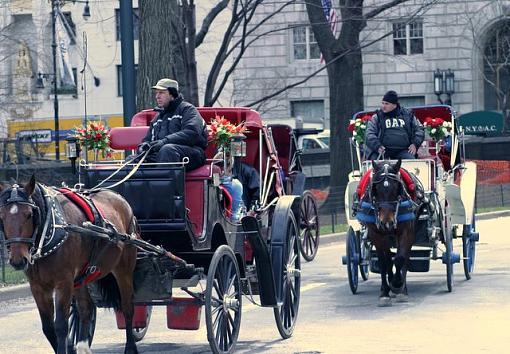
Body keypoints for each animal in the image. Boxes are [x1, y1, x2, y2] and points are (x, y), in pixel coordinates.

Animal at [0, 177, 139, 354]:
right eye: (1, 217)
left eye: (29, 214)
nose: (18, 260)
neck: (49, 230)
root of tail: (121, 199)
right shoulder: (38, 287)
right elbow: (48, 327)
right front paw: (70, 347)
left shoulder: (63, 283)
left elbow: (60, 325)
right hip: (81, 277)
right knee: (86, 308)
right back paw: (83, 346)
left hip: (124, 269)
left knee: (128, 307)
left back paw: (130, 347)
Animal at [366, 160, 414, 306]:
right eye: (376, 189)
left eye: (396, 187)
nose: (387, 222)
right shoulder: (376, 234)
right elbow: (384, 262)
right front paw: (384, 292)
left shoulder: (406, 231)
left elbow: (400, 259)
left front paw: (397, 283)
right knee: (387, 259)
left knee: (404, 258)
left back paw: (402, 289)